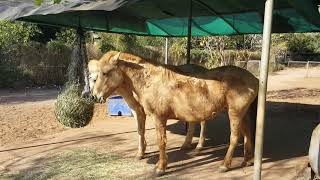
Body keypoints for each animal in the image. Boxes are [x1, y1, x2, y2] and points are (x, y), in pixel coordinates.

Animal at [92, 51, 258, 176]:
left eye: (105, 73)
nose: (95, 96)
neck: (152, 81)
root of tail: (254, 79)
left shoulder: (159, 118)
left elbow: (161, 142)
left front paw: (161, 168)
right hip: (242, 114)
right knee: (247, 134)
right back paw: (247, 160)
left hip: (235, 113)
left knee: (234, 138)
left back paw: (225, 165)